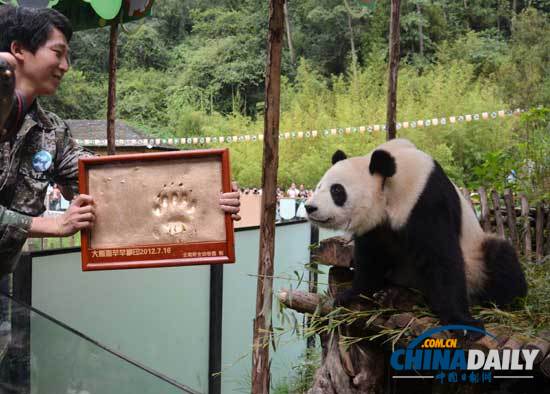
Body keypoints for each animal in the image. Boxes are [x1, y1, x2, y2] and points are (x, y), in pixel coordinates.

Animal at [308, 139, 528, 330]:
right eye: (319, 186)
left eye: (337, 191)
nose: (310, 207)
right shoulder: (376, 225)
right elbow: (370, 258)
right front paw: (351, 294)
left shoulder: (425, 201)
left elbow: (442, 259)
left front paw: (462, 322)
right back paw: (393, 295)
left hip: (476, 260)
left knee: (500, 258)